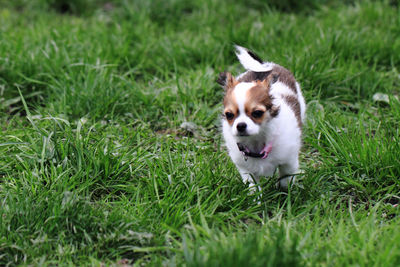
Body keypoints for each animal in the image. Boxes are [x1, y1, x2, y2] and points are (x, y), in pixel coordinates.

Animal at [217, 46, 304, 193]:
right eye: (229, 115)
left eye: (257, 113)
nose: (240, 125)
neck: (257, 142)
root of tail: (265, 65)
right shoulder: (245, 169)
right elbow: (253, 186)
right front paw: (255, 198)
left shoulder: (289, 161)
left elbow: (285, 180)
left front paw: (285, 194)